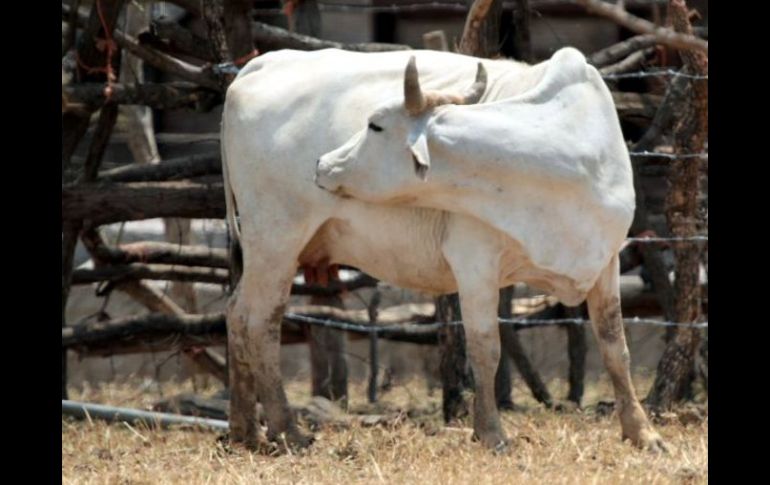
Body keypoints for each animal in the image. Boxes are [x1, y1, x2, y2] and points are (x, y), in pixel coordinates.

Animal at [220, 47, 660, 452]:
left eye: (375, 125)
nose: (323, 164)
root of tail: (263, 63)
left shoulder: (605, 260)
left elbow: (614, 346)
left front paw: (642, 432)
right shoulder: (475, 263)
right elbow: (486, 348)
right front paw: (491, 433)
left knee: (237, 314)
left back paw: (245, 430)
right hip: (276, 239)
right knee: (261, 321)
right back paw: (287, 430)